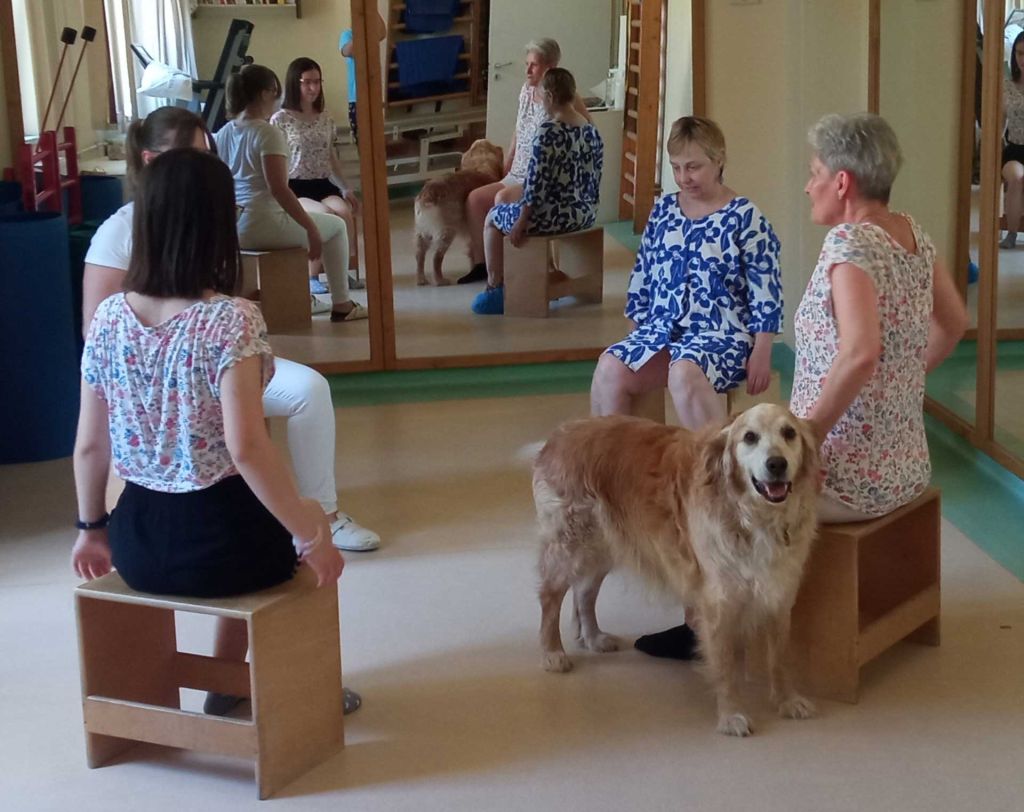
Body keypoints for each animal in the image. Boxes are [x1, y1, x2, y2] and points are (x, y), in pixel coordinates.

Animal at [413, 139, 504, 286]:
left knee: (419, 254)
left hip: (422, 232)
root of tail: (429, 192)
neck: (482, 165)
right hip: (447, 232)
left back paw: (421, 279)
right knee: (436, 258)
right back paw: (440, 280)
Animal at [532, 402, 820, 736]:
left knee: (584, 593)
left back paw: (593, 638)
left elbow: (780, 658)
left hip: (603, 545)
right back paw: (552, 652)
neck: (753, 517)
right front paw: (731, 715)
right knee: (550, 598)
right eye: (749, 437)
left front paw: (788, 700)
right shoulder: (718, 602)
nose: (776, 464)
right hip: (570, 544)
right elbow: (726, 667)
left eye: (789, 433)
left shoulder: (778, 594)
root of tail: (560, 433)